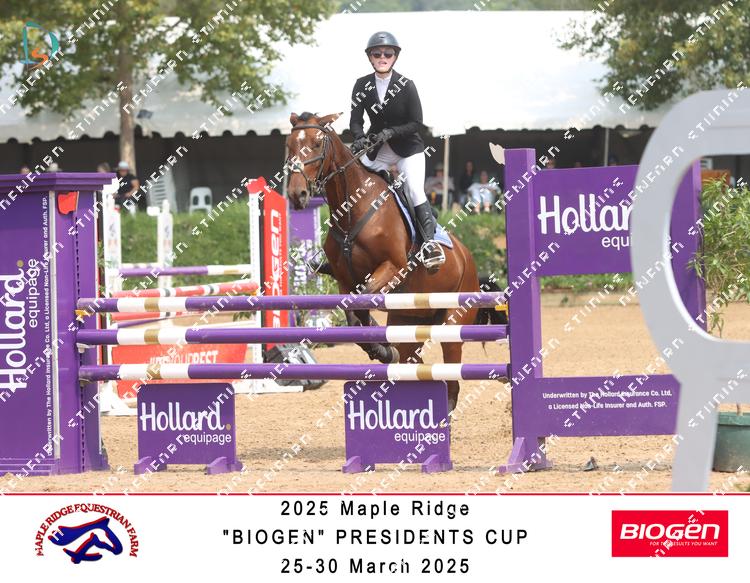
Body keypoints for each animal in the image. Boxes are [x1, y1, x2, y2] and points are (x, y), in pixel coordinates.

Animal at [285, 111, 493, 410]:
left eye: (315, 144)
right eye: (289, 145)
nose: (297, 194)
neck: (354, 207)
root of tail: (468, 258)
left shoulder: (392, 268)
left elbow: (364, 302)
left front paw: (379, 345)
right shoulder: (344, 280)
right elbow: (353, 316)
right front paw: (379, 345)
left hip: (453, 321)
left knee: (452, 376)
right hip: (409, 320)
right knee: (413, 359)